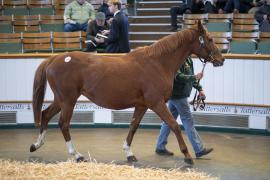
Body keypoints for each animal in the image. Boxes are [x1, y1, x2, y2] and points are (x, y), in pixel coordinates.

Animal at [29, 20, 225, 165]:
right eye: (209, 39)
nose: (221, 59)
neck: (158, 63)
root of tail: (55, 58)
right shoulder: (156, 103)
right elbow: (174, 125)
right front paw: (187, 156)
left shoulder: (142, 105)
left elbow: (133, 127)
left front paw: (129, 153)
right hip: (68, 100)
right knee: (63, 123)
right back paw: (76, 155)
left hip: (61, 100)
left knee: (45, 114)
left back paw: (36, 145)